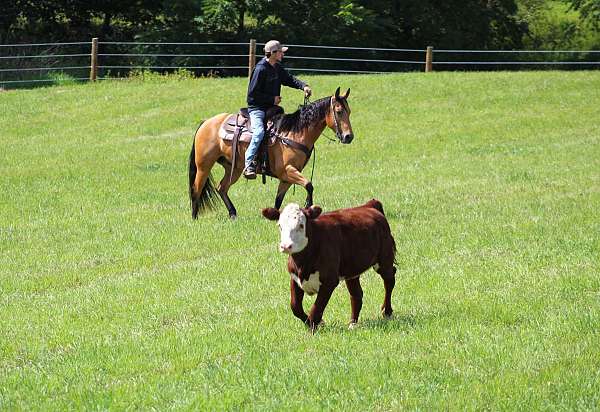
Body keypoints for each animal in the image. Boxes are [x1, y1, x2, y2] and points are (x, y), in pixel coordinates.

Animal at [190, 87, 354, 219]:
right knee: (196, 188)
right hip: (204, 166)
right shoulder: (287, 170)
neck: (294, 133)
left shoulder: (287, 177)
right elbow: (309, 185)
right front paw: (309, 208)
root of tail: (206, 122)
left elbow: (278, 199)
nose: (349, 137)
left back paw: (233, 214)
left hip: (233, 168)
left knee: (221, 188)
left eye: (349, 111)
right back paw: (194, 217)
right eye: (339, 111)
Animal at [260, 200, 396, 332]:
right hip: (351, 270)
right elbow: (295, 307)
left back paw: (387, 312)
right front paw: (317, 323)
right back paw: (352, 324)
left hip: (384, 260)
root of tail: (369, 205)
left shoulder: (329, 281)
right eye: (280, 226)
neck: (303, 264)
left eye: (301, 225)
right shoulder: (295, 278)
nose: (286, 246)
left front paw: (313, 328)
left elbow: (317, 307)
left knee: (389, 281)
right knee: (357, 294)